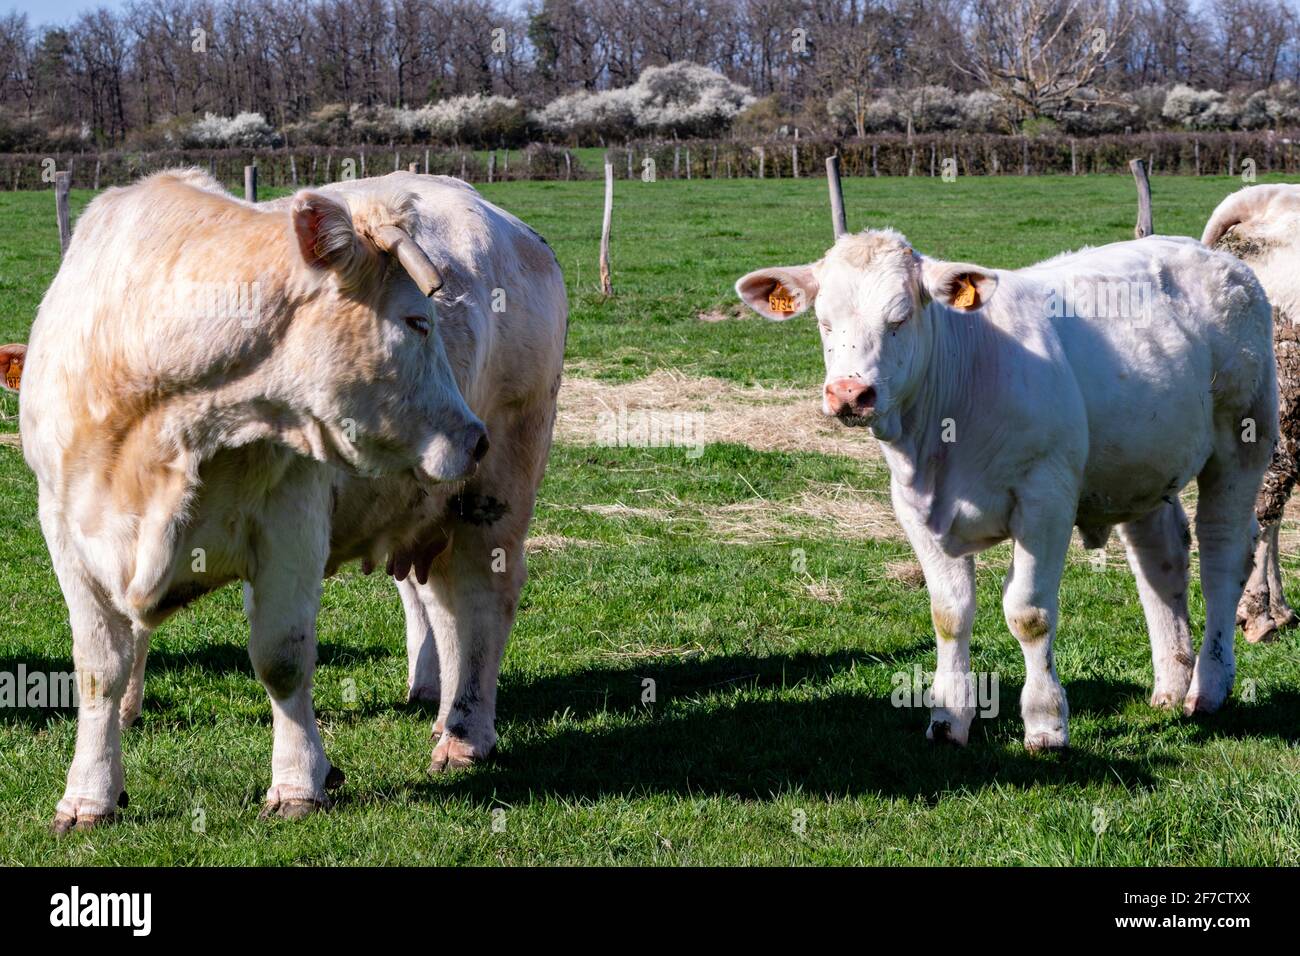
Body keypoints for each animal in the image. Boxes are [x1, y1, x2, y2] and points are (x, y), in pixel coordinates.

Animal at [18, 168, 519, 831]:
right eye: (417, 321)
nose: (474, 438)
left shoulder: (291, 524)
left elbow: (281, 657)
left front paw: (300, 782)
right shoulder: (66, 529)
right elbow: (100, 668)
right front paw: (88, 796)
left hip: (498, 493)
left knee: (483, 604)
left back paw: (466, 736)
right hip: (430, 516)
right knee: (445, 605)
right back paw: (439, 711)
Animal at [737, 230, 1275, 749]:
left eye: (900, 318)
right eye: (824, 322)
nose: (850, 394)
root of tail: (1216, 256)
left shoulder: (1046, 501)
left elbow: (1029, 614)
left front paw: (1045, 723)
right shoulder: (915, 509)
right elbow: (949, 614)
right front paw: (948, 718)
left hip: (1242, 441)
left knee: (1222, 555)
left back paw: (1208, 687)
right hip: (1141, 465)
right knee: (1160, 562)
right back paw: (1169, 684)